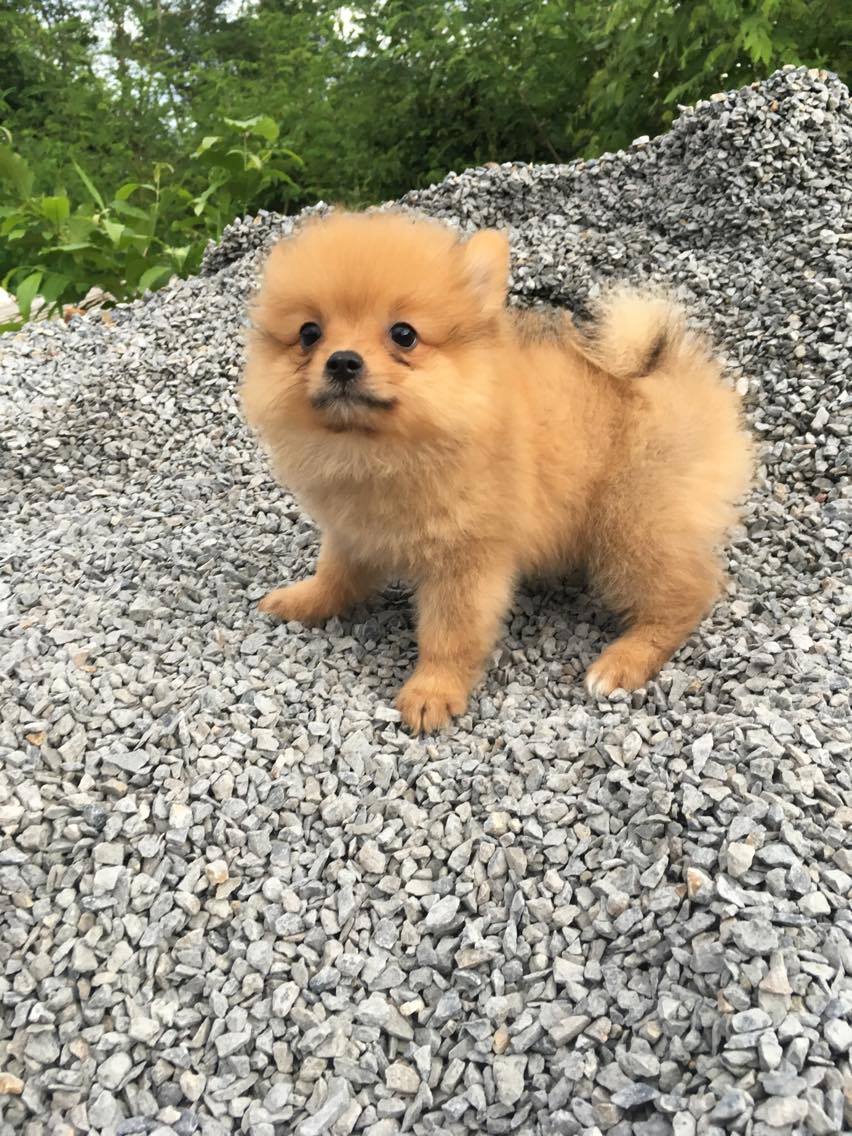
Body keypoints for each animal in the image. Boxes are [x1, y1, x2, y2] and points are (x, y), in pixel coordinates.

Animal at [241, 210, 752, 732]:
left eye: (403, 334)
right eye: (309, 334)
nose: (343, 361)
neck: (382, 451)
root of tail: (667, 371)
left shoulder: (465, 561)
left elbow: (448, 635)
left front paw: (432, 692)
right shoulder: (351, 533)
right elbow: (334, 575)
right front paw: (304, 601)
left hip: (631, 528)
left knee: (686, 595)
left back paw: (623, 661)